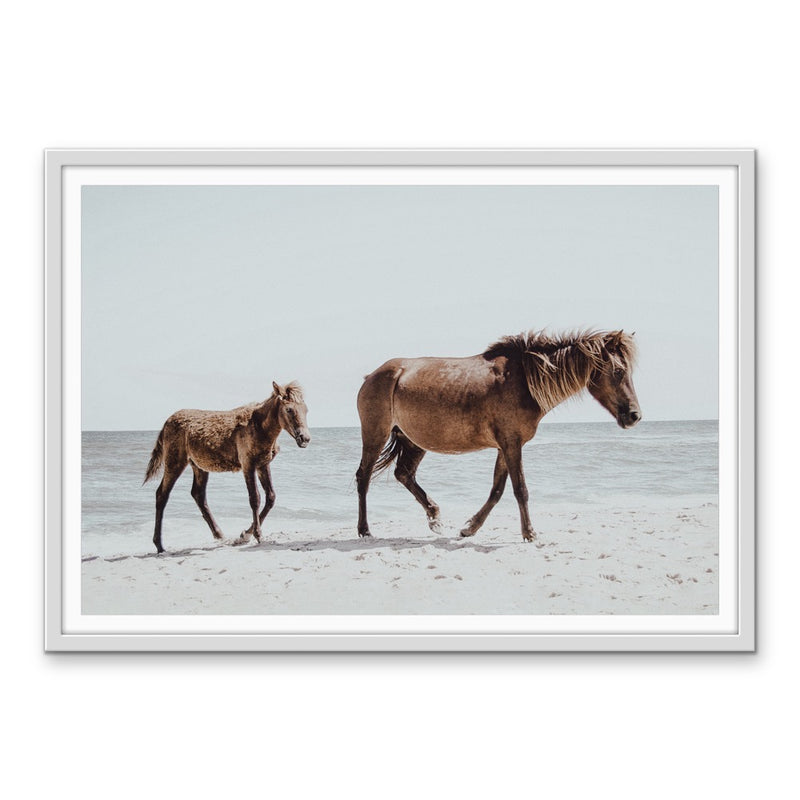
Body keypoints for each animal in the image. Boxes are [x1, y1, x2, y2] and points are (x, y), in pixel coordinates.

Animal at [144, 381, 310, 553]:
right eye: (289, 409)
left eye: (306, 409)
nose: (305, 438)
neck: (259, 427)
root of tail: (165, 424)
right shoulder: (248, 464)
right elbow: (255, 498)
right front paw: (255, 535)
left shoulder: (263, 465)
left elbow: (270, 497)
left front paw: (245, 535)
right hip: (175, 462)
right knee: (162, 494)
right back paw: (159, 545)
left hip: (199, 466)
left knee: (198, 494)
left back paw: (220, 535)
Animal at [355, 330, 641, 542]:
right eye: (618, 371)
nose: (634, 415)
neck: (524, 381)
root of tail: (373, 376)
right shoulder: (512, 444)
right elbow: (520, 489)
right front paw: (529, 533)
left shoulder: (506, 446)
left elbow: (497, 490)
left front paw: (469, 528)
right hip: (375, 434)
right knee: (364, 477)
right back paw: (365, 530)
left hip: (413, 441)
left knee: (404, 474)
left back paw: (434, 517)